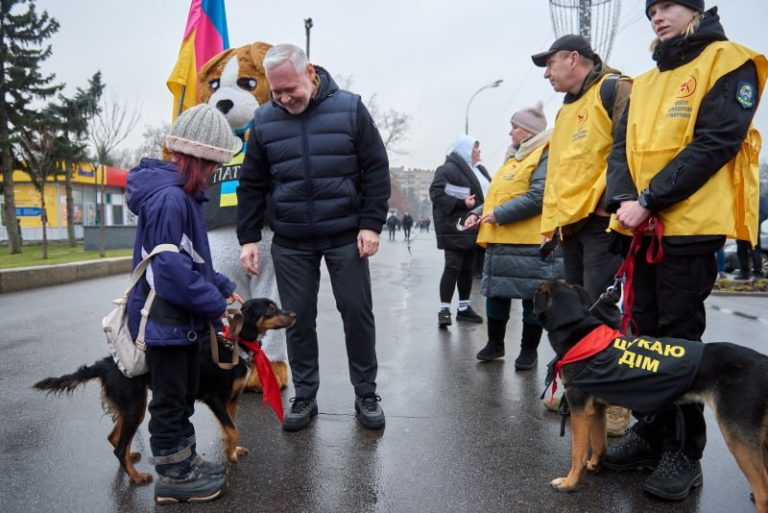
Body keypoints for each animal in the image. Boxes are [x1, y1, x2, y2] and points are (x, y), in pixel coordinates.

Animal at [31, 296, 294, 484]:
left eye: (276, 306)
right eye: (270, 309)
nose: (294, 314)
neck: (233, 346)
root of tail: (106, 363)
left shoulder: (232, 399)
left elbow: (230, 429)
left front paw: (232, 450)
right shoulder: (215, 399)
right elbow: (233, 429)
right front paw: (230, 456)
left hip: (129, 407)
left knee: (114, 438)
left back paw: (131, 457)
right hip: (135, 406)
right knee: (118, 446)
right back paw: (136, 477)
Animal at [536, 280, 768, 512]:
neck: (578, 332)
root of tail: (763, 361)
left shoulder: (580, 410)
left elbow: (578, 452)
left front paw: (569, 482)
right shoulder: (597, 409)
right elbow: (599, 443)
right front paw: (594, 465)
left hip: (738, 434)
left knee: (763, 492)